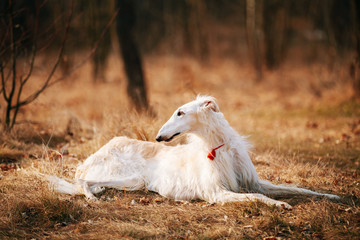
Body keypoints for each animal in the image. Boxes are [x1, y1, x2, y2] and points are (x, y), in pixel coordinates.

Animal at [49, 95, 338, 208]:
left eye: (180, 112)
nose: (158, 137)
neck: (221, 148)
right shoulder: (217, 193)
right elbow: (257, 197)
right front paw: (279, 204)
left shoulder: (254, 181)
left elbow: (301, 188)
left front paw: (333, 196)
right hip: (125, 176)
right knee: (83, 182)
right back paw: (91, 197)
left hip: (131, 181)